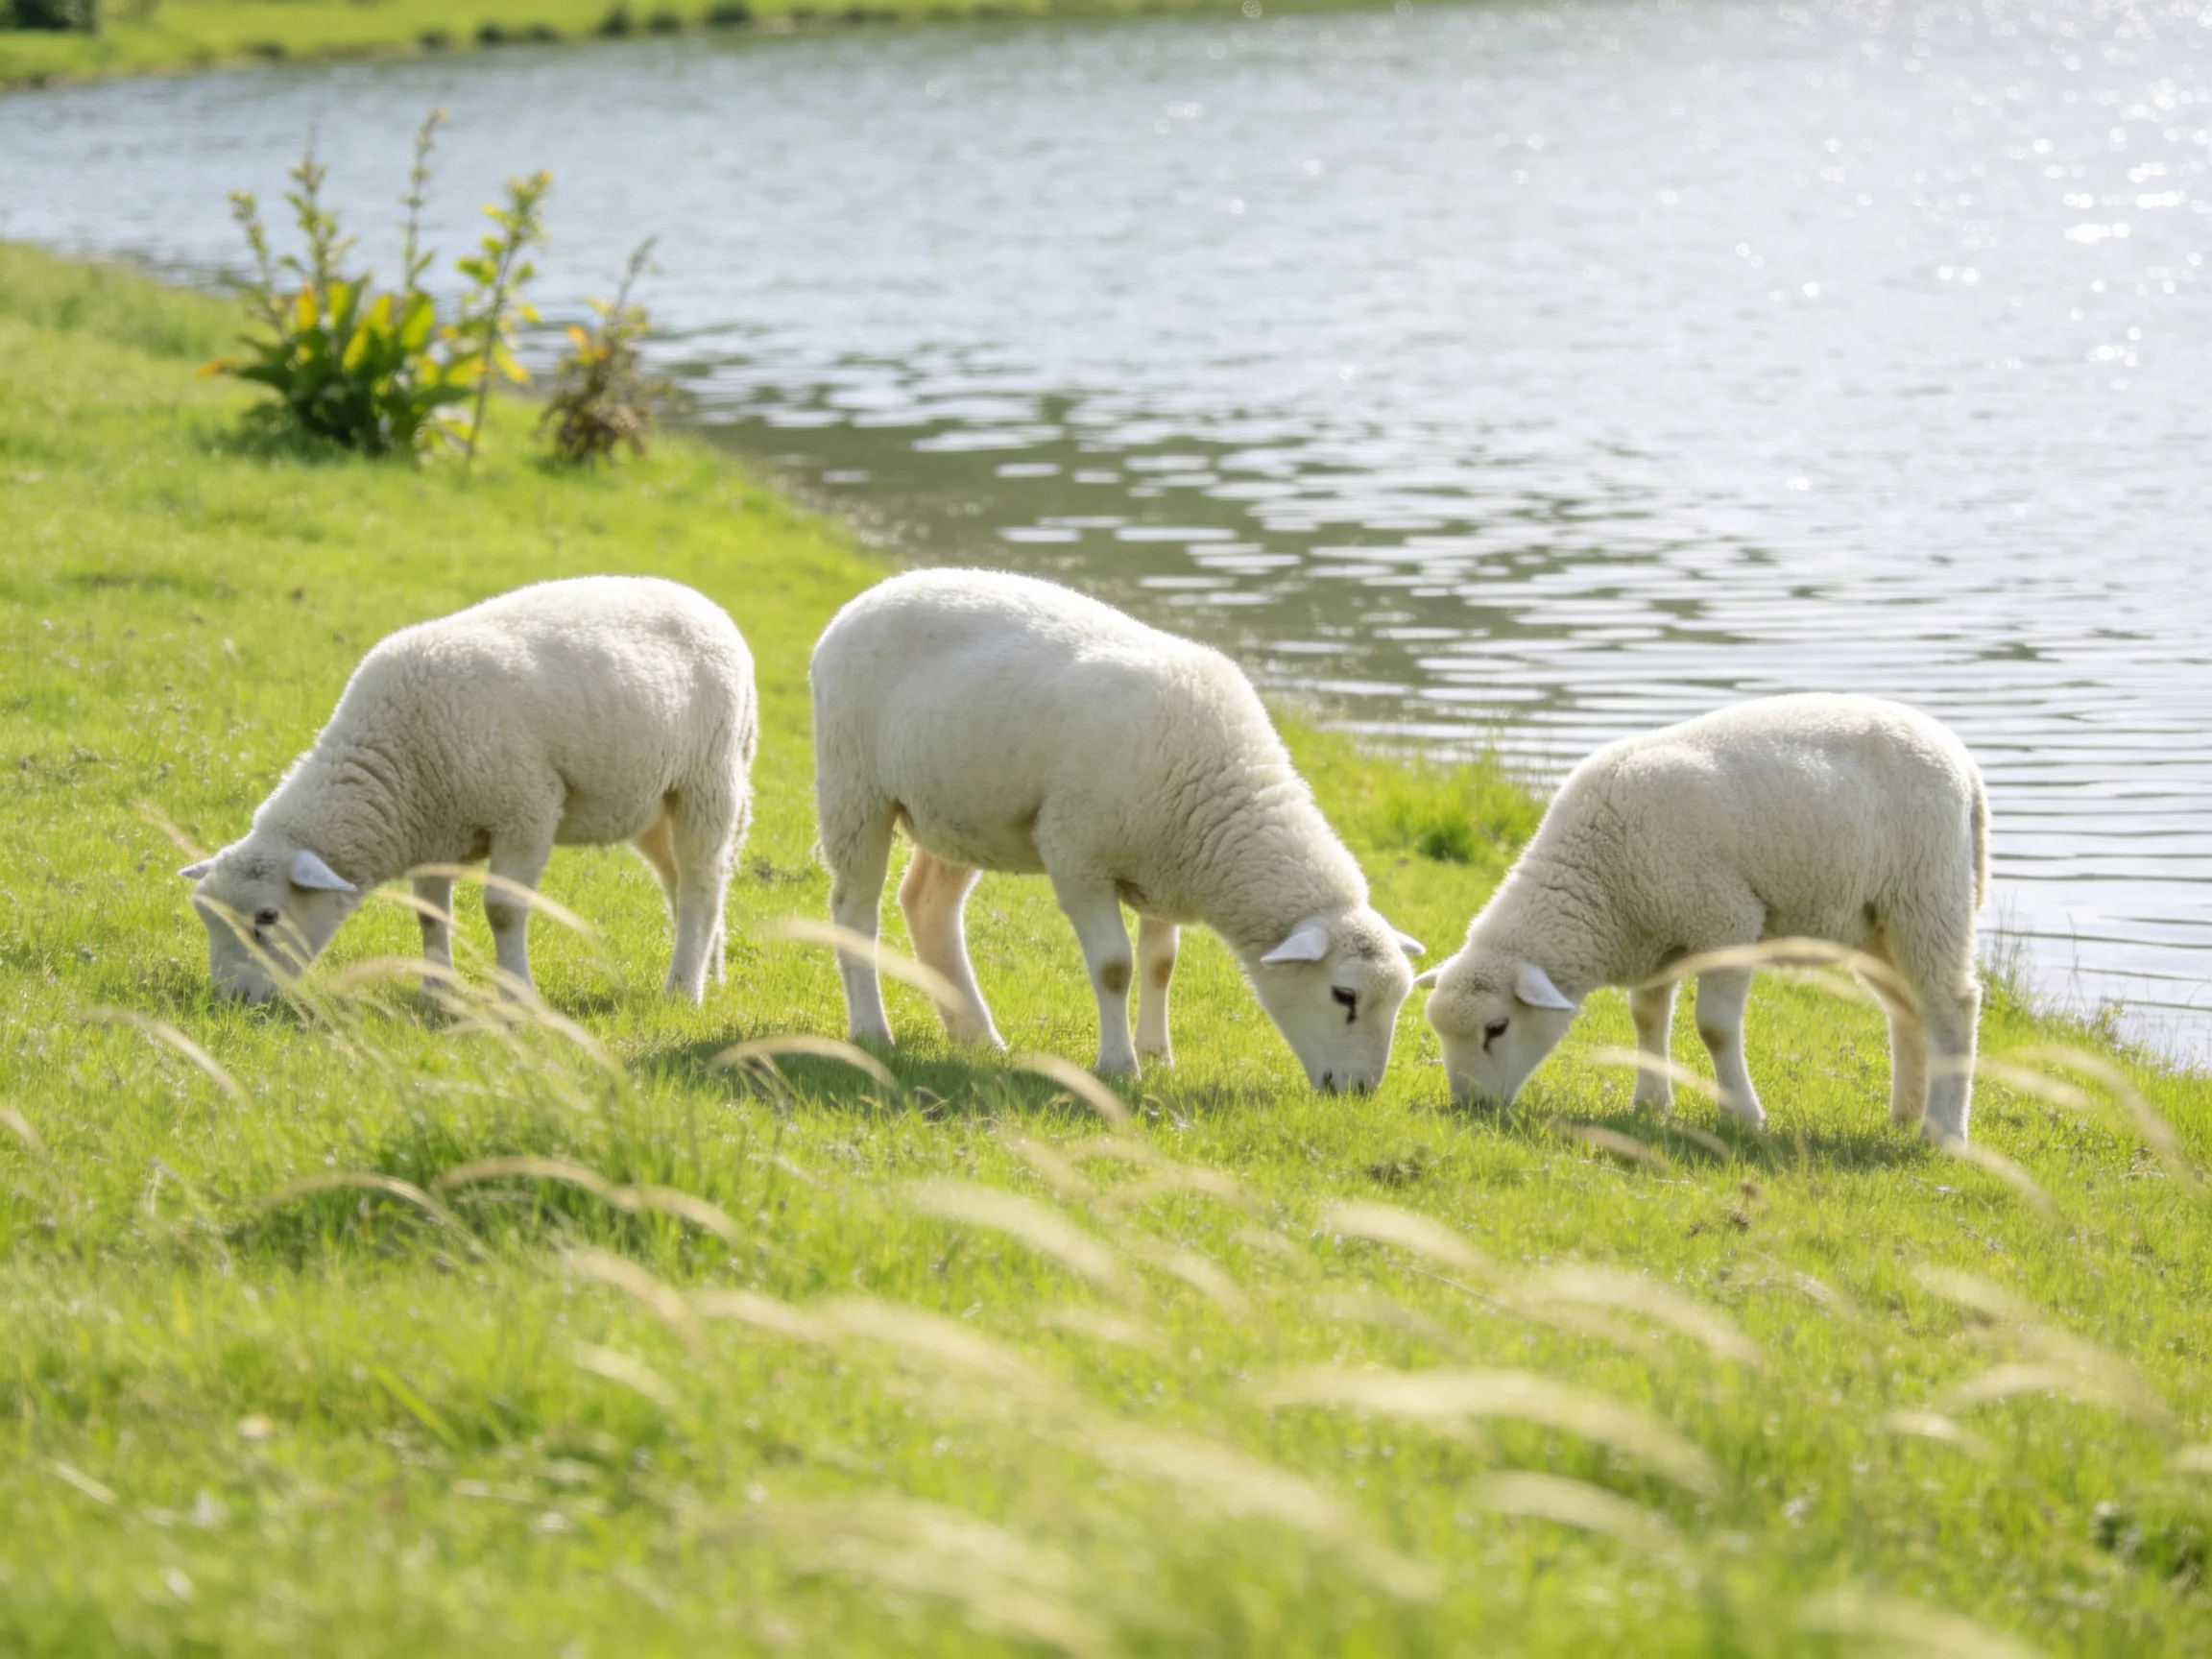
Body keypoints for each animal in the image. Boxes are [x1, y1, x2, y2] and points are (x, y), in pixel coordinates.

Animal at [180, 575, 756, 1005]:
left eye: (267, 918)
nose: (232, 1001)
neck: (395, 759)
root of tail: (703, 602)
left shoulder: (526, 810)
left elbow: (503, 910)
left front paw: (516, 997)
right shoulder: (432, 830)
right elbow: (429, 914)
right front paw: (437, 992)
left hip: (709, 779)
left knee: (701, 882)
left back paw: (683, 990)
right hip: (649, 802)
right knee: (681, 881)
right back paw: (709, 972)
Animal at [809, 568, 1425, 1090]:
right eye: (1344, 995)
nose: (1361, 1092)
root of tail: (871, 594)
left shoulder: (1166, 861)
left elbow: (1160, 963)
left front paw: (1158, 1055)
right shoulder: (1076, 854)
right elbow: (1114, 968)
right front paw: (1120, 1066)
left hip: (956, 810)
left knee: (928, 906)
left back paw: (977, 1035)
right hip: (855, 787)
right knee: (855, 910)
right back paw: (873, 1030)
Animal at [1418, 694, 1989, 1140]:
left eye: (1496, 1027)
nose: (1470, 1108)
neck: (1600, 874)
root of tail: (1962, 762)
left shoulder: (1727, 919)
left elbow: (1714, 1028)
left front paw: (1743, 1117)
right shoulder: (1655, 936)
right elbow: (1647, 1017)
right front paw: (1649, 1103)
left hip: (1928, 896)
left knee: (1952, 1007)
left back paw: (1944, 1134)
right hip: (1874, 923)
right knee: (1908, 1010)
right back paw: (1906, 1116)